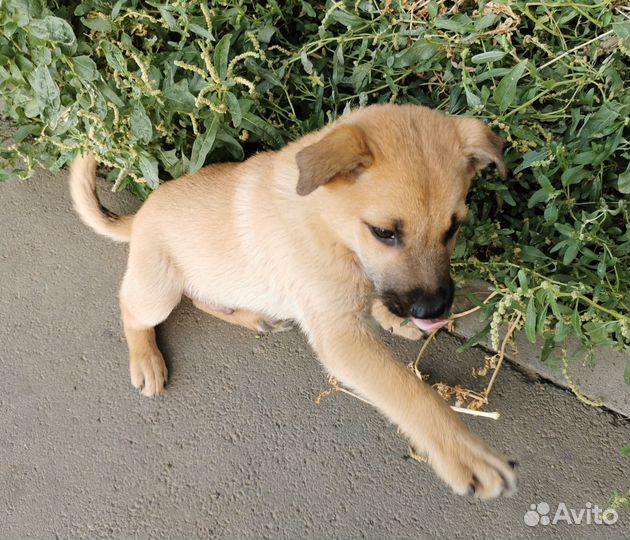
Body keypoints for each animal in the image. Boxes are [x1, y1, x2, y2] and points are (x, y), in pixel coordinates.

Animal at [70, 104, 520, 498]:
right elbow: (411, 393)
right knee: (131, 309)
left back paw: (252, 317)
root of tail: (139, 217)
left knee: (202, 300)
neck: (327, 222)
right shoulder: (340, 338)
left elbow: (377, 297)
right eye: (384, 232)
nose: (433, 311)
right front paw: (464, 454)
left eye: (454, 228)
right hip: (158, 291)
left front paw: (394, 320)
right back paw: (146, 359)